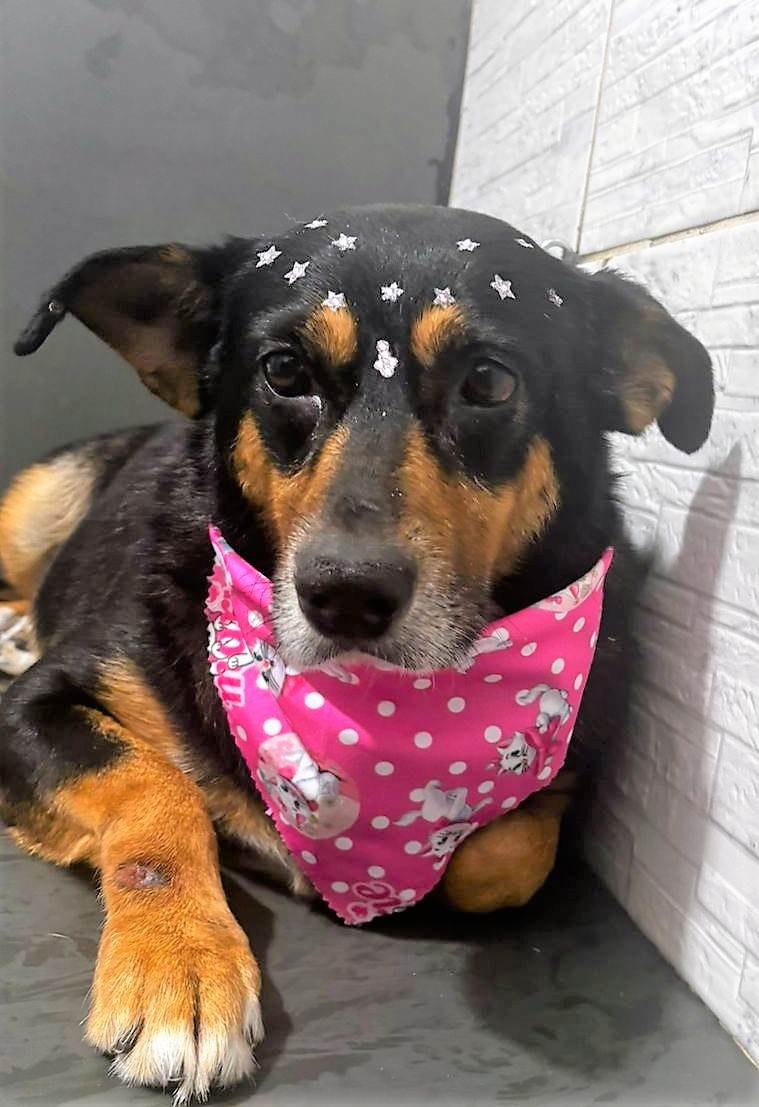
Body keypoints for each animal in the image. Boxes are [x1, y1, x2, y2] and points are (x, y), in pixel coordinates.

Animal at [0, 204, 713, 1101]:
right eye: (282, 370)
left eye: (490, 382)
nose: (344, 593)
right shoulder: (36, 704)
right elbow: (156, 787)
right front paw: (178, 961)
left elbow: (505, 854)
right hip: (31, 508)